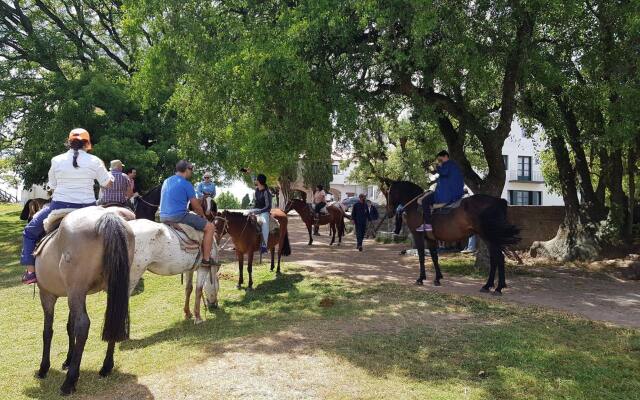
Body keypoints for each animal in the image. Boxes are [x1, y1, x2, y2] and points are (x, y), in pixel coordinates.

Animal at [34, 208, 135, 396]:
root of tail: (106, 217)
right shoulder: (72, 295)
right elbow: (69, 327)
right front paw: (68, 360)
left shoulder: (48, 295)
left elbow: (48, 331)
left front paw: (44, 368)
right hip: (111, 287)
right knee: (114, 320)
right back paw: (106, 367)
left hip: (76, 290)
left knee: (83, 325)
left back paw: (69, 383)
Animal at [384, 181, 520, 294]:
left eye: (389, 192)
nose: (389, 212)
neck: (415, 206)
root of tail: (498, 201)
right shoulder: (430, 239)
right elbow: (434, 257)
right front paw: (437, 278)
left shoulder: (418, 235)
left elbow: (422, 257)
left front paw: (421, 278)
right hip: (488, 237)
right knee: (495, 258)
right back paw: (488, 286)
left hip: (489, 236)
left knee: (499, 258)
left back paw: (498, 287)